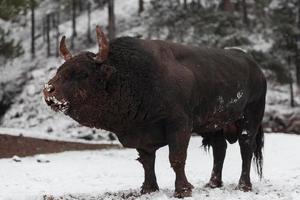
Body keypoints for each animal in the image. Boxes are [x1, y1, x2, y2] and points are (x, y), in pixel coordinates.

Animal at [43, 32, 266, 197]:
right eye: (60, 70)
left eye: (83, 73)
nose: (48, 90)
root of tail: (256, 68)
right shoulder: (141, 132)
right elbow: (147, 161)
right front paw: (148, 188)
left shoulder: (179, 125)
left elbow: (176, 158)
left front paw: (183, 189)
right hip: (215, 125)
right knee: (220, 150)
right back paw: (212, 183)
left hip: (250, 118)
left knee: (246, 147)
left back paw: (244, 185)